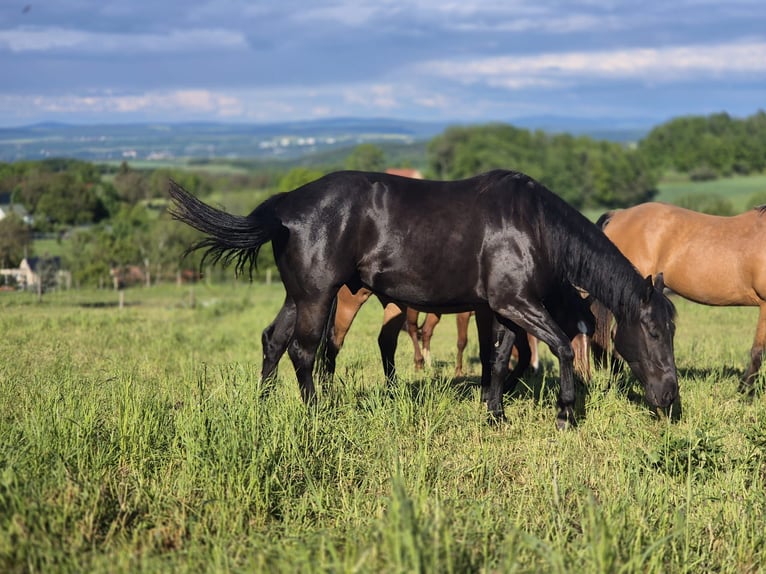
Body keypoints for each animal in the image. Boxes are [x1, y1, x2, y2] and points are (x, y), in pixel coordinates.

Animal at [168, 169, 678, 428]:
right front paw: (567, 415)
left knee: (273, 340)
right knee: (304, 350)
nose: (671, 400)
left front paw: (495, 415)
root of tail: (285, 204)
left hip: (298, 294)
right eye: (654, 331)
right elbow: (556, 348)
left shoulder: (502, 307)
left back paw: (264, 405)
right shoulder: (514, 303)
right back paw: (317, 416)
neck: (531, 225)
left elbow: (498, 357)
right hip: (317, 294)